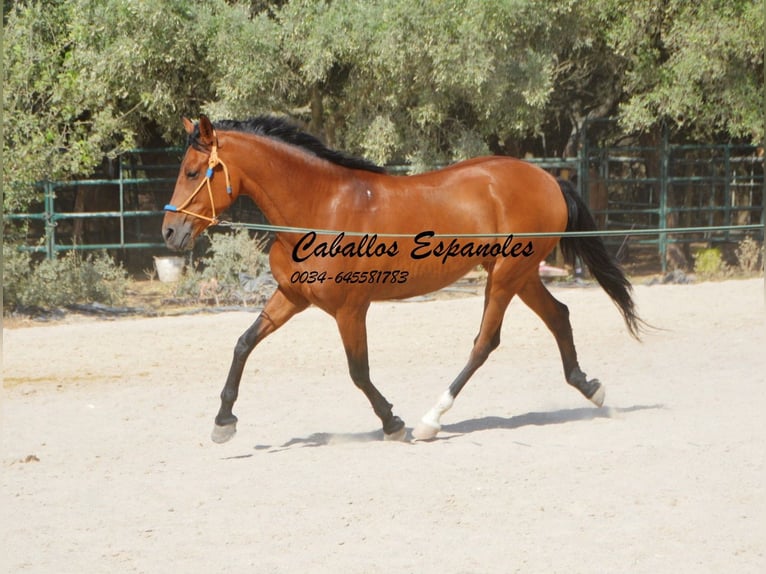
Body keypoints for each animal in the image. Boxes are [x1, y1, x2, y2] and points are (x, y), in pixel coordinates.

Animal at [164, 115, 640, 444]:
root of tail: (547, 178)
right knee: (559, 315)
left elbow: (358, 372)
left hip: (507, 277)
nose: (169, 232)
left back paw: (432, 420)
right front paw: (224, 423)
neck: (320, 207)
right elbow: (244, 343)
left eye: (192, 172)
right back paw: (591, 389)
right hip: (521, 276)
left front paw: (394, 422)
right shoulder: (292, 296)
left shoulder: (350, 310)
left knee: (485, 342)